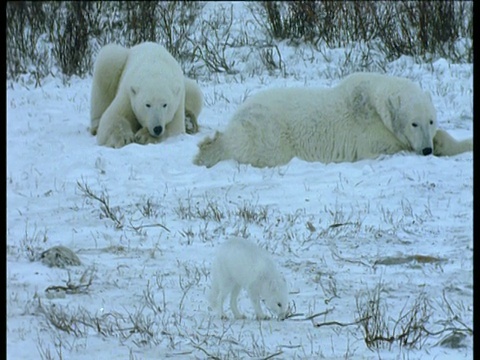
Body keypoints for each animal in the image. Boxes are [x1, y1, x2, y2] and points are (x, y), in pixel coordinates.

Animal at [194, 73, 472, 169]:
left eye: (431, 121)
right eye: (414, 123)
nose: (426, 150)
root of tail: (236, 119)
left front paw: (455, 143)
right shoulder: (368, 133)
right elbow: (384, 147)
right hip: (268, 131)